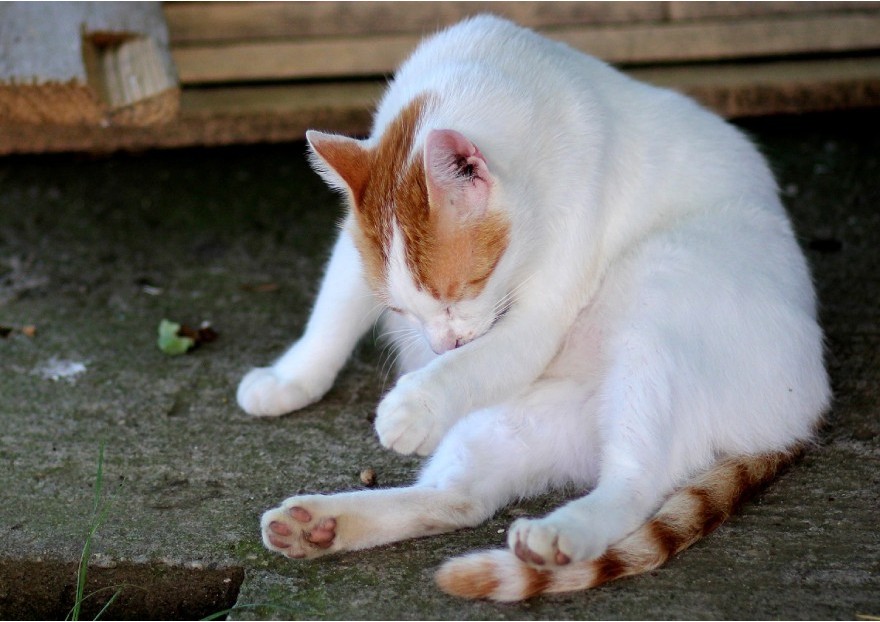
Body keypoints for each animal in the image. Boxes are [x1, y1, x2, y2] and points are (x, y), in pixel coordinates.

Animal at [235, 14, 832, 604]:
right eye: (401, 310)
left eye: (461, 291)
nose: (441, 347)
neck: (484, 75)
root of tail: (802, 415)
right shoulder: (353, 253)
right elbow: (332, 312)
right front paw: (292, 378)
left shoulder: (539, 311)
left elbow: (475, 362)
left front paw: (415, 404)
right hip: (514, 423)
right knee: (461, 499)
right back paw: (321, 525)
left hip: (663, 292)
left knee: (635, 481)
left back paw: (561, 532)